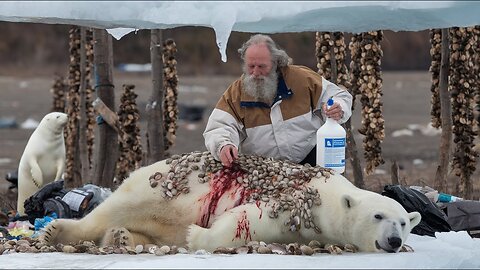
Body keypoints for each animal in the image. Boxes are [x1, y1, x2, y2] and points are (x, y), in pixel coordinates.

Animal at [43, 152, 422, 253]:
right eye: (378, 216)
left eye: (404, 222)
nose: (394, 241)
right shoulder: (294, 202)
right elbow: (248, 218)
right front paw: (197, 236)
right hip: (154, 191)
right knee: (111, 212)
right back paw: (56, 231)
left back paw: (122, 238)